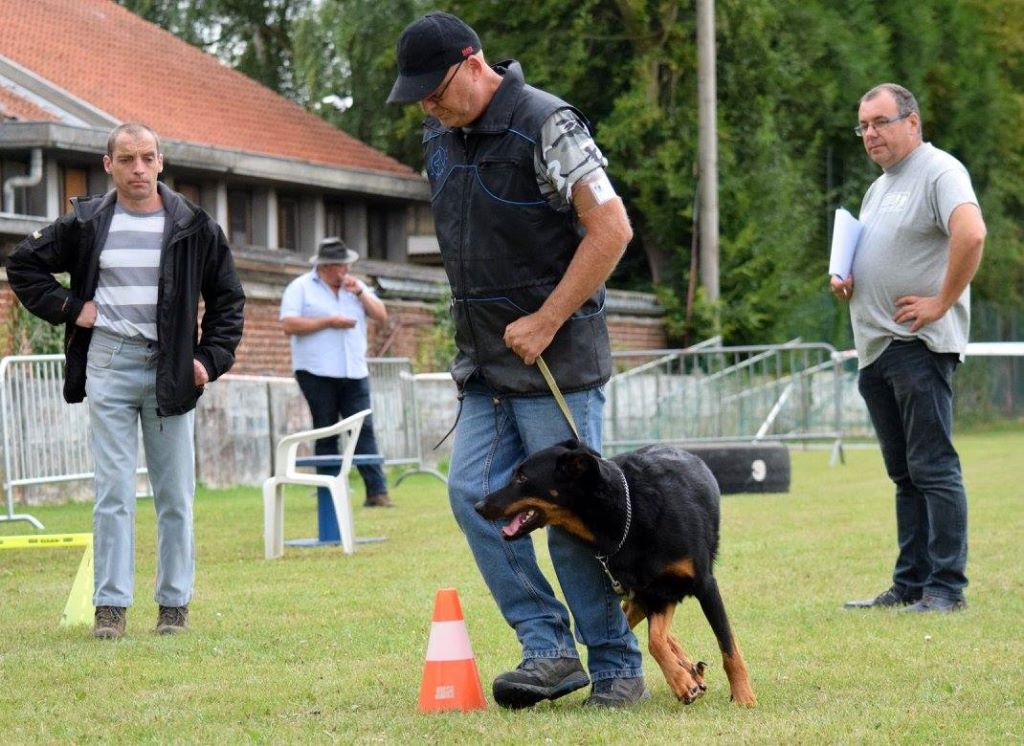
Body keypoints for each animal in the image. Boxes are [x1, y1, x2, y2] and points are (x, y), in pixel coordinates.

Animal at [475, 435, 757, 704]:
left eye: (522, 477)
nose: (478, 506)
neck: (625, 513)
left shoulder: (704, 585)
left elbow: (727, 647)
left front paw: (743, 697)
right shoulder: (653, 593)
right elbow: (655, 641)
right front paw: (681, 681)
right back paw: (688, 669)